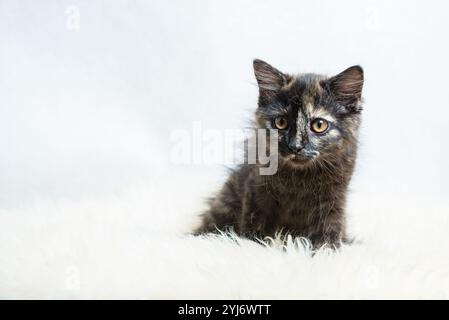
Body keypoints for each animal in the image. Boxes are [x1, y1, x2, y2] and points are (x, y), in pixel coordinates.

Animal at [194, 58, 362, 248]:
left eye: (319, 125)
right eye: (281, 122)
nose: (295, 146)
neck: (300, 178)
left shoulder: (333, 199)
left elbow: (330, 227)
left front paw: (326, 249)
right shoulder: (257, 189)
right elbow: (255, 224)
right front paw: (253, 244)